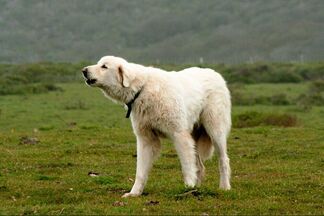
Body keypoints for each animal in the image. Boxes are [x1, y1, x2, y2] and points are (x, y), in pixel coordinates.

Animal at [82, 56, 232, 197]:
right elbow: (140, 171)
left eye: (104, 66)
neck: (142, 89)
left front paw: (188, 186)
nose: (84, 70)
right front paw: (134, 193)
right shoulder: (146, 139)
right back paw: (197, 189)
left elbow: (186, 166)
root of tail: (215, 73)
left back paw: (224, 187)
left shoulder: (179, 135)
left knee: (223, 160)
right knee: (200, 167)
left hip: (215, 131)